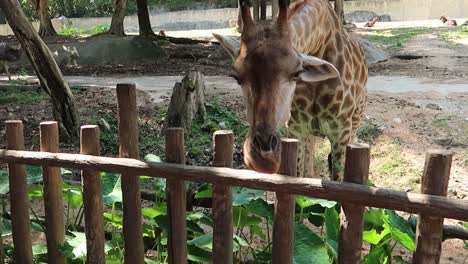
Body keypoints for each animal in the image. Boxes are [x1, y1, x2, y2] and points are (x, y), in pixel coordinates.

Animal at [213, 0, 370, 179]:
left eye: (296, 73)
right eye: (236, 77)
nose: (263, 159)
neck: (320, 42)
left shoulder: (340, 133)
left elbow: (337, 176)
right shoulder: (296, 129)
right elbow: (298, 175)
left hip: (355, 121)